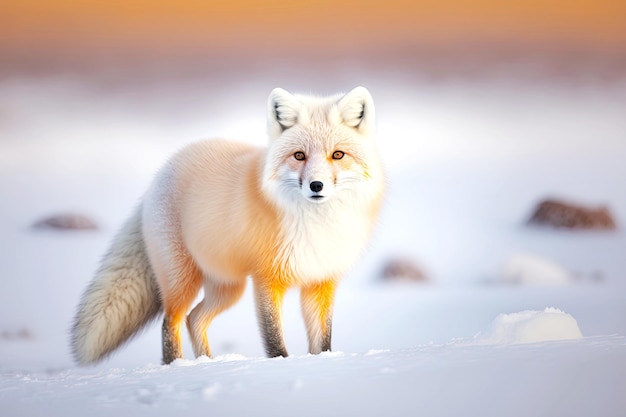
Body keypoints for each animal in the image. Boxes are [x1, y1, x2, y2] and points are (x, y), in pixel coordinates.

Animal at [72, 86, 386, 362]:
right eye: (299, 155)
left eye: (338, 154)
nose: (316, 185)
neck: (316, 225)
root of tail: (162, 171)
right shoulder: (267, 279)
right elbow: (275, 341)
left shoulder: (321, 280)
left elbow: (322, 343)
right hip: (183, 281)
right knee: (171, 322)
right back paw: (178, 366)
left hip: (228, 287)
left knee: (195, 319)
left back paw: (207, 363)